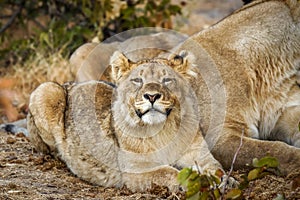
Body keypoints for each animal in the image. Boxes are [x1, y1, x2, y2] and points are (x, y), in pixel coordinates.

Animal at [8, 0, 300, 192]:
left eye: (167, 80)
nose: (151, 96)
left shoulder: (287, 116)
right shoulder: (221, 138)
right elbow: (272, 149)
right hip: (57, 79)